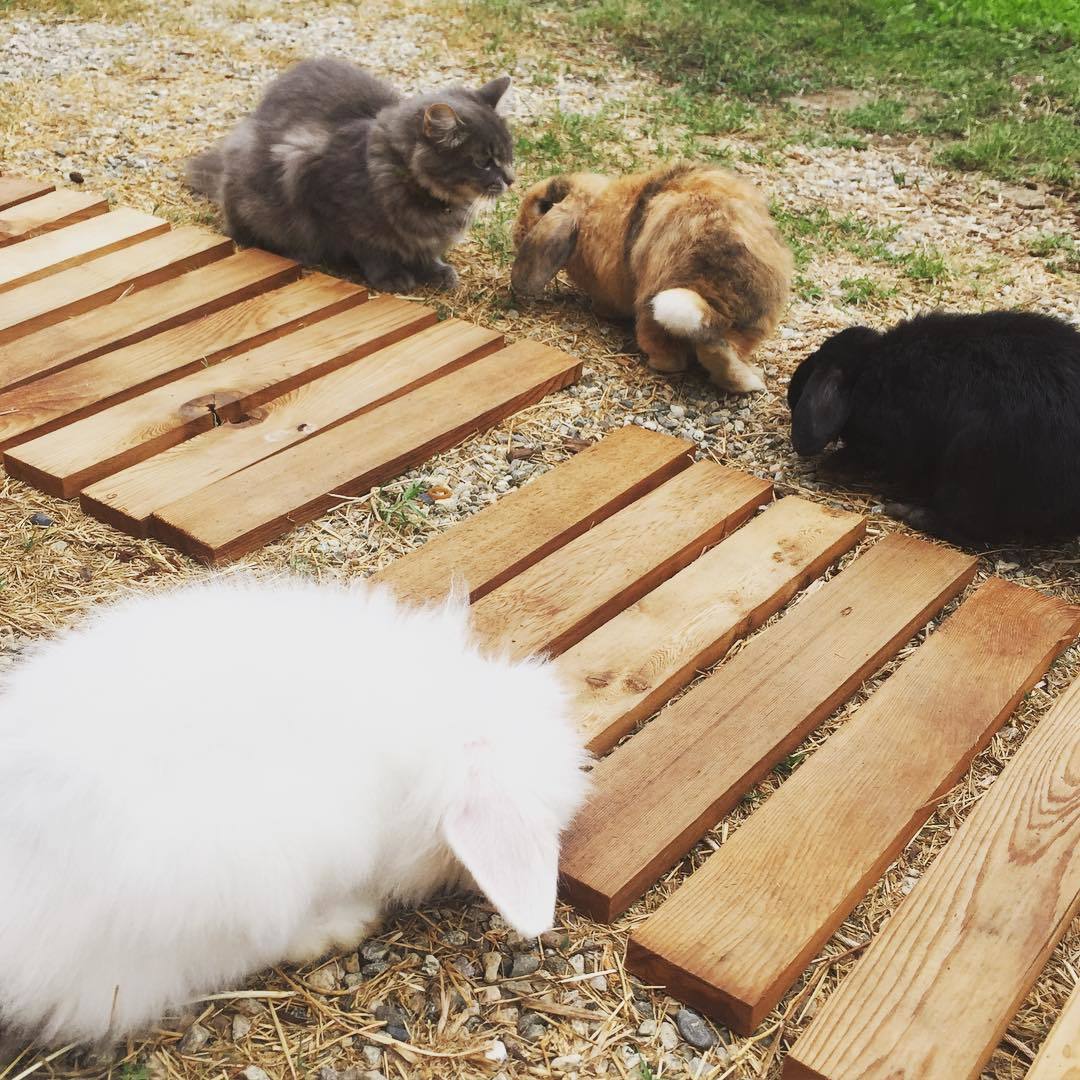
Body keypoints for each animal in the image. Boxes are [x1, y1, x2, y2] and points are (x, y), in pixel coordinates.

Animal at [186, 57, 515, 292]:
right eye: (484, 161)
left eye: (509, 153)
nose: (511, 179)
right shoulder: (332, 206)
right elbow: (373, 250)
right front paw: (392, 276)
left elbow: (425, 250)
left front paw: (436, 270)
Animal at [511, 163, 793, 394]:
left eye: (542, 204)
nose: (516, 232)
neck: (589, 211)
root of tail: (717, 306)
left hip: (652, 305)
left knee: (670, 358)